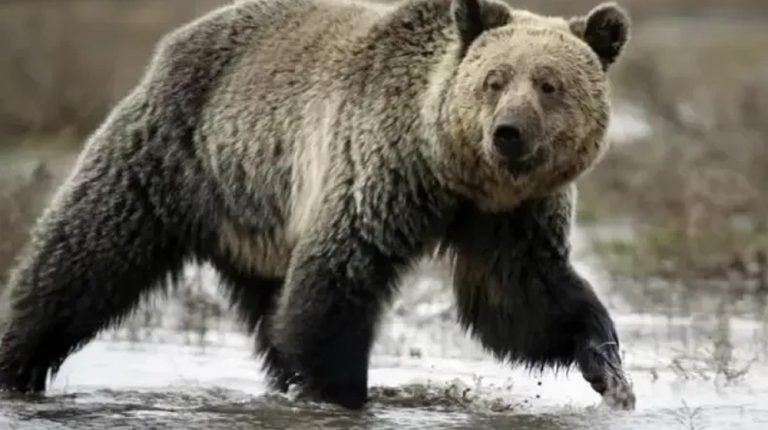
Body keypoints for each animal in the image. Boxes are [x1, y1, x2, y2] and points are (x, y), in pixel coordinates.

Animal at [0, 0, 633, 411]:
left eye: (549, 84)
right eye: (495, 79)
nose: (508, 133)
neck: (455, 174)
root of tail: (178, 39)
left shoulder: (511, 216)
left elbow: (522, 299)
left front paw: (608, 368)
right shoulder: (378, 170)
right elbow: (337, 279)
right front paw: (342, 393)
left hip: (258, 217)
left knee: (271, 310)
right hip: (174, 156)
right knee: (84, 256)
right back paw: (18, 362)